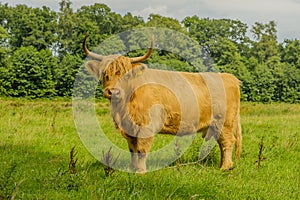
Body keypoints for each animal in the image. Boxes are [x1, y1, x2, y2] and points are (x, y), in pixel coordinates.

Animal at [82, 33, 241, 173]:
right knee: (222, 143)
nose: (113, 91)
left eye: (126, 75)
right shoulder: (130, 128)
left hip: (224, 123)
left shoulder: (146, 125)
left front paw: (140, 171)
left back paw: (225, 167)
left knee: (228, 142)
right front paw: (131, 169)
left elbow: (141, 149)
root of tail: (229, 77)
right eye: (104, 74)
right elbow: (132, 149)